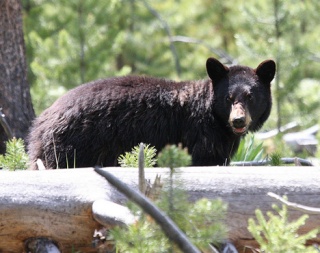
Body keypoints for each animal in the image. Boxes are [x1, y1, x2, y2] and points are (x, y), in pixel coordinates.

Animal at [26, 57, 276, 168]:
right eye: (228, 98)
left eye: (250, 96)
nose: (238, 120)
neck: (214, 118)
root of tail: (40, 123)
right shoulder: (200, 137)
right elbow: (204, 161)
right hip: (71, 146)